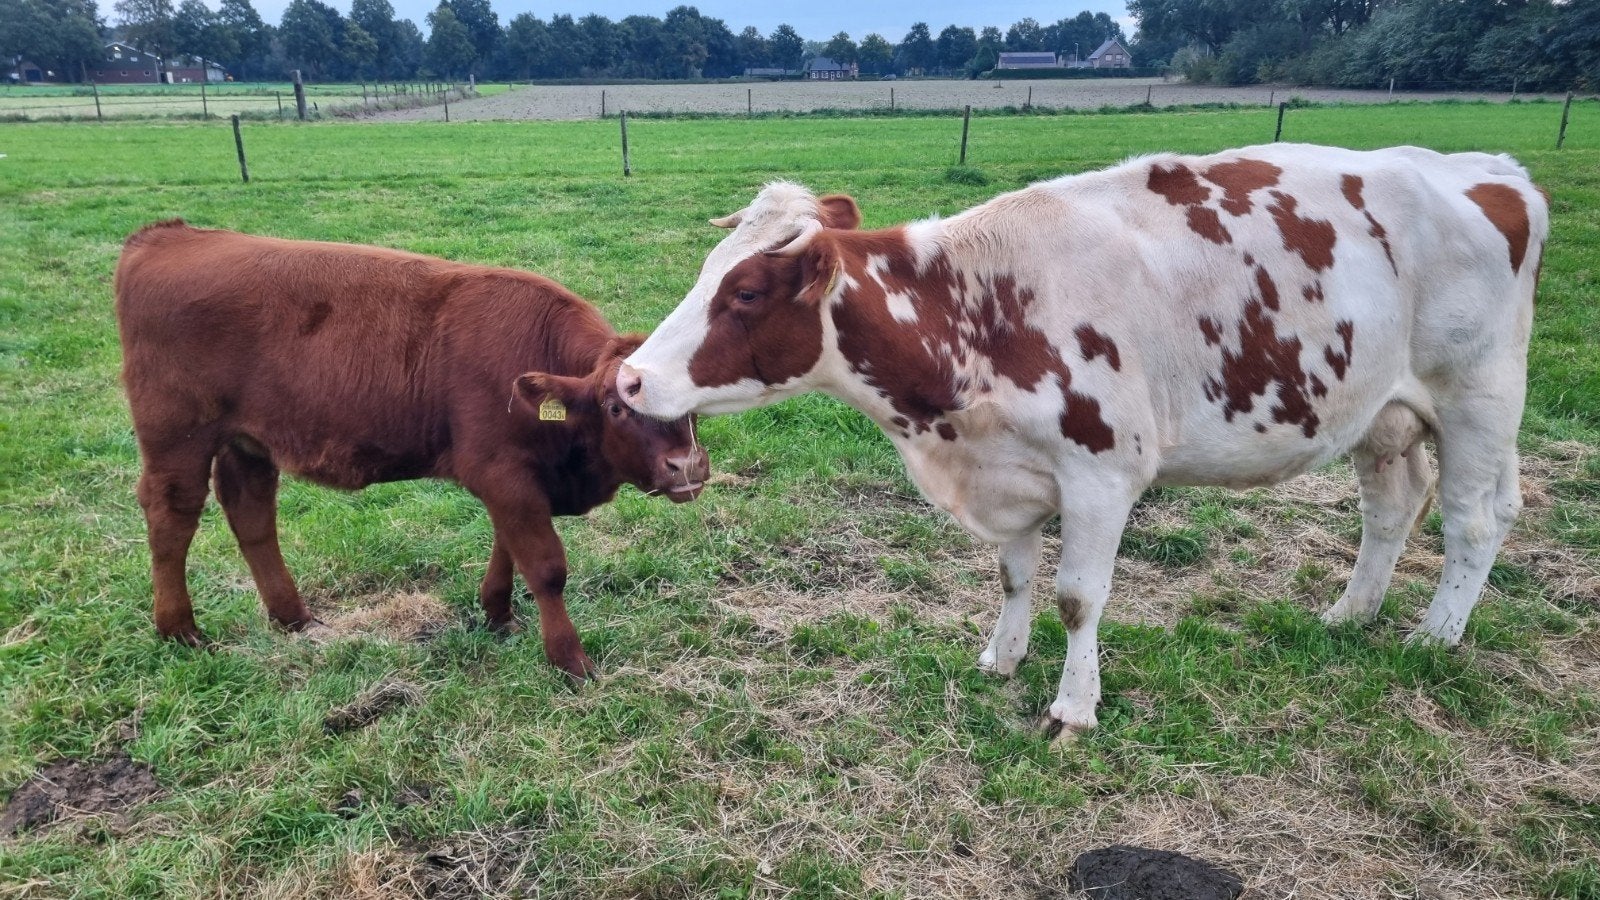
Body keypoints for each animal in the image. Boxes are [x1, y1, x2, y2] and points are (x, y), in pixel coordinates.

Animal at [115, 220, 709, 679]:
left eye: (692, 405)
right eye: (616, 408)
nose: (687, 467)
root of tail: (168, 235)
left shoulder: (517, 479)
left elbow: (507, 547)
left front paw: (496, 614)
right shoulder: (503, 472)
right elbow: (544, 565)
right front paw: (570, 660)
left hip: (249, 440)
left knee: (251, 512)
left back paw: (292, 617)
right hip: (176, 435)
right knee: (172, 516)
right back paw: (179, 629)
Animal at [615, 143, 1547, 737]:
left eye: (744, 293)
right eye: (710, 271)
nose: (628, 380)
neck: (978, 309)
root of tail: (1489, 171)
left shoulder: (1102, 474)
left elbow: (1077, 597)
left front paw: (1072, 708)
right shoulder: (1010, 471)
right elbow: (1013, 576)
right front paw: (1002, 656)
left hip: (1479, 394)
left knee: (1474, 518)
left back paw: (1436, 634)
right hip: (1381, 410)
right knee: (1393, 506)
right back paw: (1351, 613)